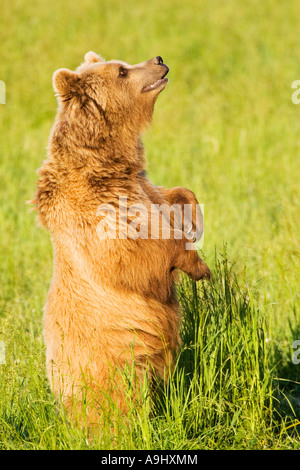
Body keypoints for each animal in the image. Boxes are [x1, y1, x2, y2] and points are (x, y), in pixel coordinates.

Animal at [32, 51, 211, 430]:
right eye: (123, 71)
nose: (158, 58)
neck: (107, 162)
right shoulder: (95, 213)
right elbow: (135, 252)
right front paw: (197, 265)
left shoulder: (139, 184)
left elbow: (173, 195)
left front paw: (194, 222)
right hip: (113, 366)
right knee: (123, 403)